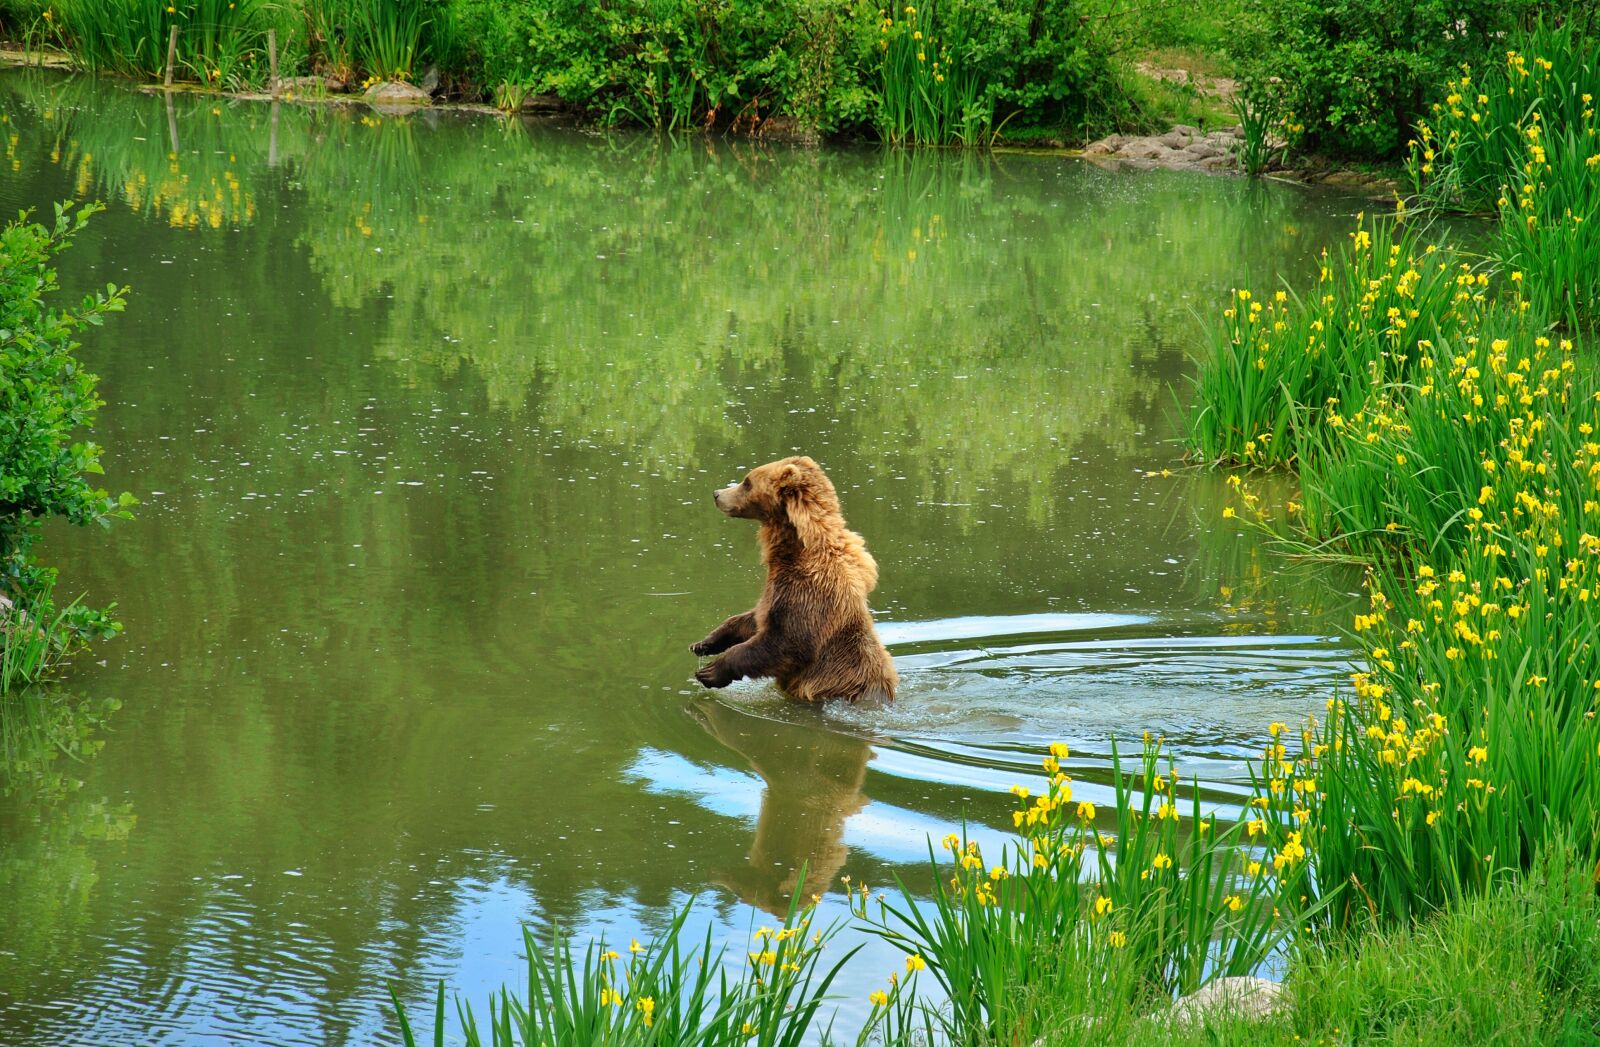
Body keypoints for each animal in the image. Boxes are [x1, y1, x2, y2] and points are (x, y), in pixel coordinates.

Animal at [690, 455, 897, 703]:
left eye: (747, 482)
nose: (717, 494)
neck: (794, 550)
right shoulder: (774, 589)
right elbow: (754, 619)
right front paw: (704, 643)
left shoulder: (809, 591)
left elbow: (787, 643)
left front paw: (710, 671)